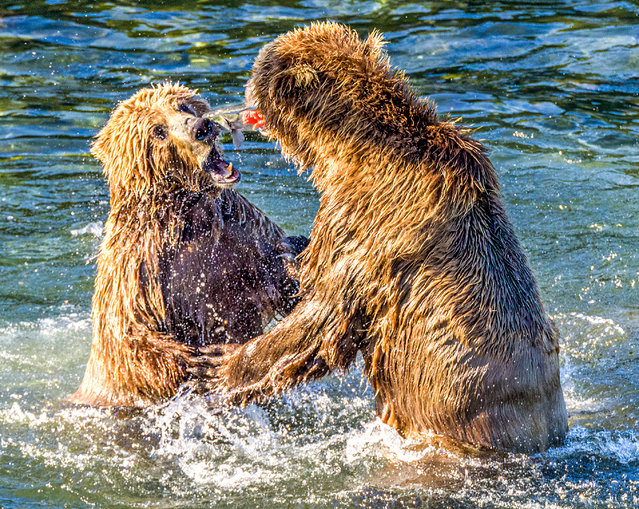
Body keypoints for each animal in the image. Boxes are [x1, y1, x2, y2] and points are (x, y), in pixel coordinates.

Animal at [196, 22, 568, 452]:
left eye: (261, 69)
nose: (247, 81)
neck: (347, 148)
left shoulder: (368, 223)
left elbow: (323, 310)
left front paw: (218, 365)